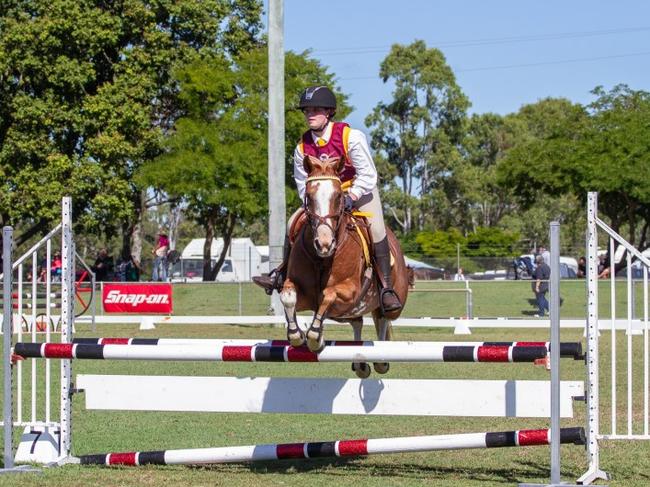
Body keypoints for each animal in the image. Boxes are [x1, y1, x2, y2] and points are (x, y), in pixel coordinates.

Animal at [280, 155, 410, 378]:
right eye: (309, 196)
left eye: (339, 196)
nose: (324, 244)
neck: (322, 259)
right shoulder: (303, 294)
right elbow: (287, 296)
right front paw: (296, 335)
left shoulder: (350, 291)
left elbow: (328, 294)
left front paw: (315, 337)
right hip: (351, 312)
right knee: (358, 323)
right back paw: (361, 364)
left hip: (392, 301)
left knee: (383, 317)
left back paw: (381, 360)